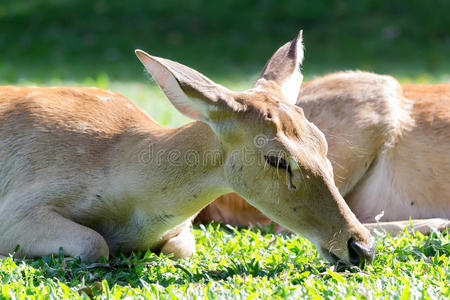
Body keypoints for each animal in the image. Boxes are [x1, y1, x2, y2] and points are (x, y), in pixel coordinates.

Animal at [0, 31, 376, 266]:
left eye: (323, 143)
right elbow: (95, 243)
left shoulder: (181, 231)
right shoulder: (18, 208)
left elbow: (179, 248)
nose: (361, 246)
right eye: (277, 159)